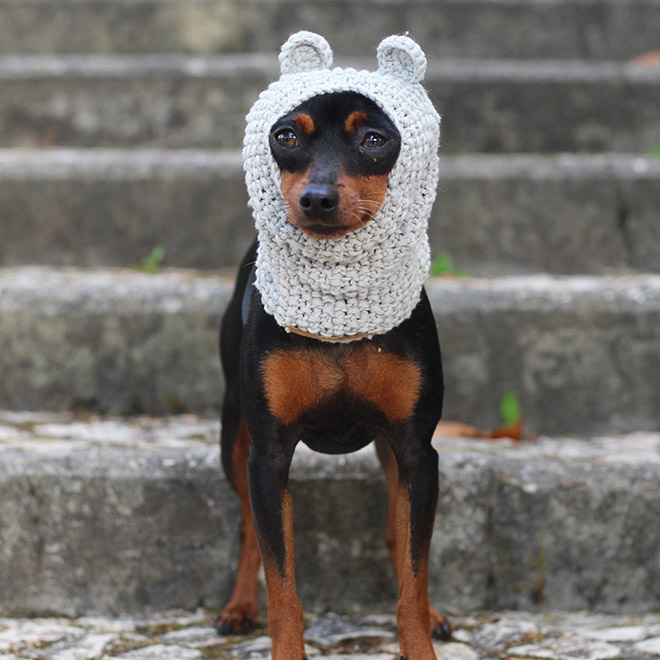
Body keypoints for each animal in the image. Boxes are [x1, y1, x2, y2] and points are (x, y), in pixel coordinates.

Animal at [214, 33, 452, 660]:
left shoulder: (417, 450)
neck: (339, 314)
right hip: (233, 436)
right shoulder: (268, 455)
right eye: (286, 136)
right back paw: (237, 607)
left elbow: (413, 579)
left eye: (374, 140)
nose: (318, 199)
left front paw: (421, 636)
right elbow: (283, 589)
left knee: (397, 534)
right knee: (247, 529)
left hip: (391, 451)